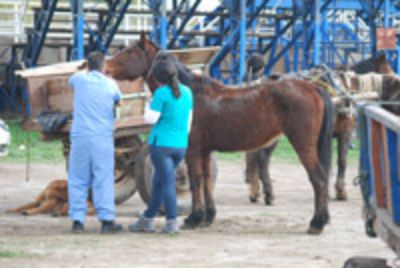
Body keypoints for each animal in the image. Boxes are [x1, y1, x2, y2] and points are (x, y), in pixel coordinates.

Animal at [104, 34, 334, 234]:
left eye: (129, 52)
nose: (106, 67)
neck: (191, 93)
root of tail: (312, 88)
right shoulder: (205, 152)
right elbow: (207, 181)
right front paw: (208, 217)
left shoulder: (193, 151)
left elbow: (195, 180)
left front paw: (193, 218)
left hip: (303, 145)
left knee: (319, 179)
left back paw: (316, 223)